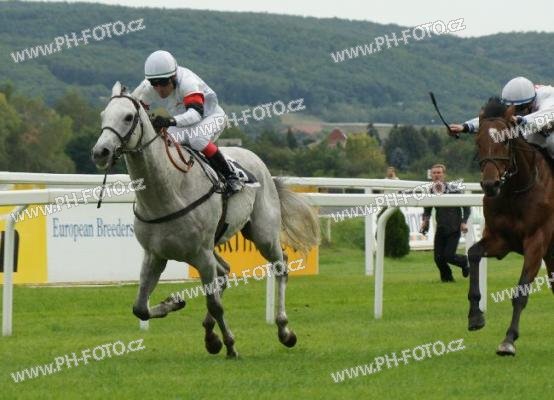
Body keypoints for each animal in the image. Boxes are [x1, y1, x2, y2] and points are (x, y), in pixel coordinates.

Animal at [91, 82, 319, 358]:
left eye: (128, 117)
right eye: (103, 115)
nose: (100, 152)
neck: (167, 192)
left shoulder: (201, 254)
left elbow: (215, 304)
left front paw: (230, 344)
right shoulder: (155, 255)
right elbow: (140, 308)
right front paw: (174, 303)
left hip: (263, 234)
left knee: (280, 266)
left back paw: (284, 330)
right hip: (208, 249)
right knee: (225, 272)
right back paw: (211, 335)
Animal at [467, 97, 554, 356]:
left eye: (505, 140)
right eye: (478, 141)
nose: (490, 185)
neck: (516, 190)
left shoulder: (537, 241)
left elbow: (521, 292)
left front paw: (508, 340)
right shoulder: (500, 240)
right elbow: (472, 253)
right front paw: (475, 316)